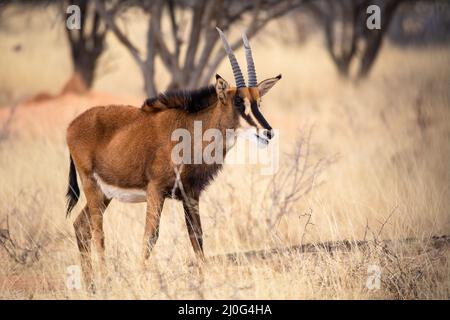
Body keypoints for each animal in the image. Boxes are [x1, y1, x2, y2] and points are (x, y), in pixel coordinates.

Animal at [66, 28, 282, 288]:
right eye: (239, 103)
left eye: (258, 101)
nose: (268, 132)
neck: (191, 130)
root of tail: (72, 125)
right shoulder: (156, 190)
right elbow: (151, 236)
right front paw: (141, 279)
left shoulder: (191, 194)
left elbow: (197, 237)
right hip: (91, 185)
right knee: (97, 231)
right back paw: (104, 279)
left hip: (105, 193)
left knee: (81, 226)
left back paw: (90, 286)